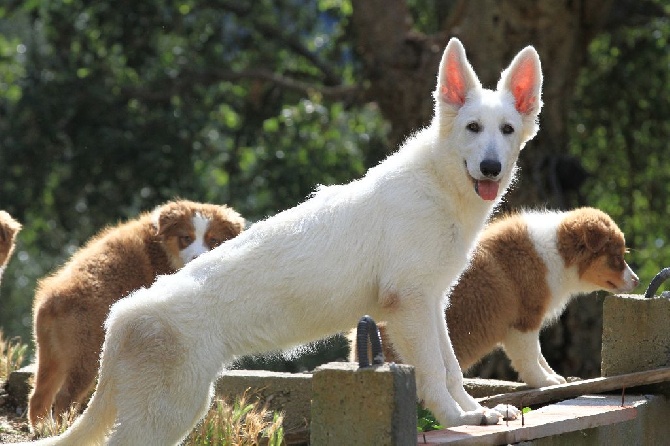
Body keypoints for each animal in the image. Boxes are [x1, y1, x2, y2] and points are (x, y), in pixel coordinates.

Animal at [28, 200, 245, 426]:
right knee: (65, 397)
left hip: (51, 354)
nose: (198, 258)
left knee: (39, 395)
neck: (162, 246)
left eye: (214, 240)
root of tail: (53, 300)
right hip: (85, 355)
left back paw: (41, 429)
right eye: (186, 238)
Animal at [362, 208, 640, 386]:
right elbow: (529, 357)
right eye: (617, 258)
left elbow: (539, 355)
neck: (557, 253)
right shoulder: (523, 321)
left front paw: (555, 376)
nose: (637, 281)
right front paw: (544, 381)